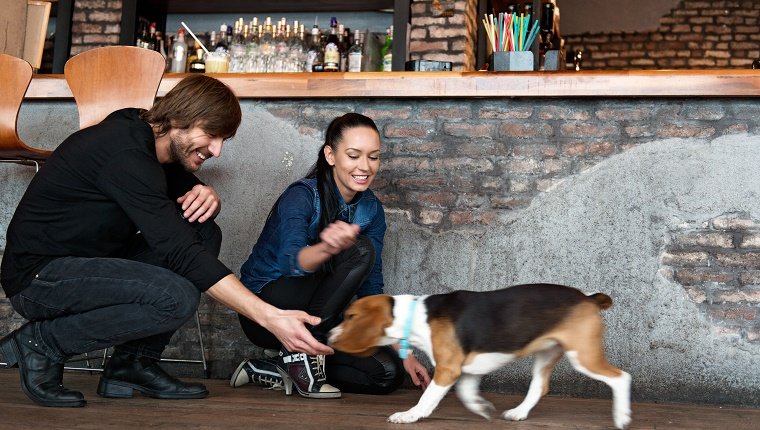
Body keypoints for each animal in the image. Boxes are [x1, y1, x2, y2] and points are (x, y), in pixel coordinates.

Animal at [330, 284, 632, 428]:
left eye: (349, 317)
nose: (329, 335)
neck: (414, 315)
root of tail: (588, 297)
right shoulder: (466, 371)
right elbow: (467, 393)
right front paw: (481, 407)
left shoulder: (448, 369)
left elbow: (427, 398)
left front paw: (409, 415)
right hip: (547, 352)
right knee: (539, 386)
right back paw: (519, 412)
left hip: (583, 355)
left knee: (621, 377)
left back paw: (622, 417)